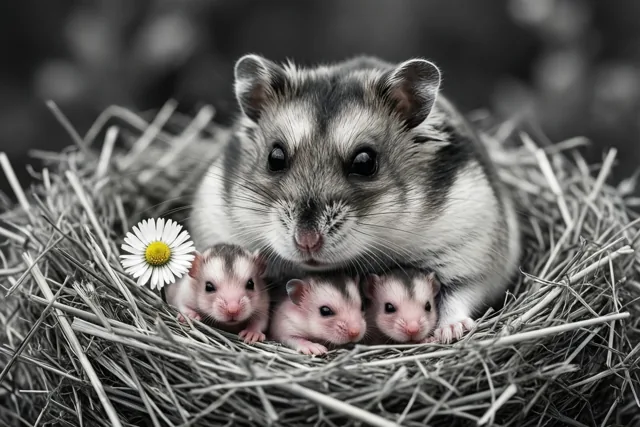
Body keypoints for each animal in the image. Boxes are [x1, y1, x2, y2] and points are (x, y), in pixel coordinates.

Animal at [189, 54, 521, 344]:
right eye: (275, 157)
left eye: (365, 162)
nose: (306, 241)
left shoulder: (471, 252)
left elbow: (461, 293)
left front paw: (449, 332)